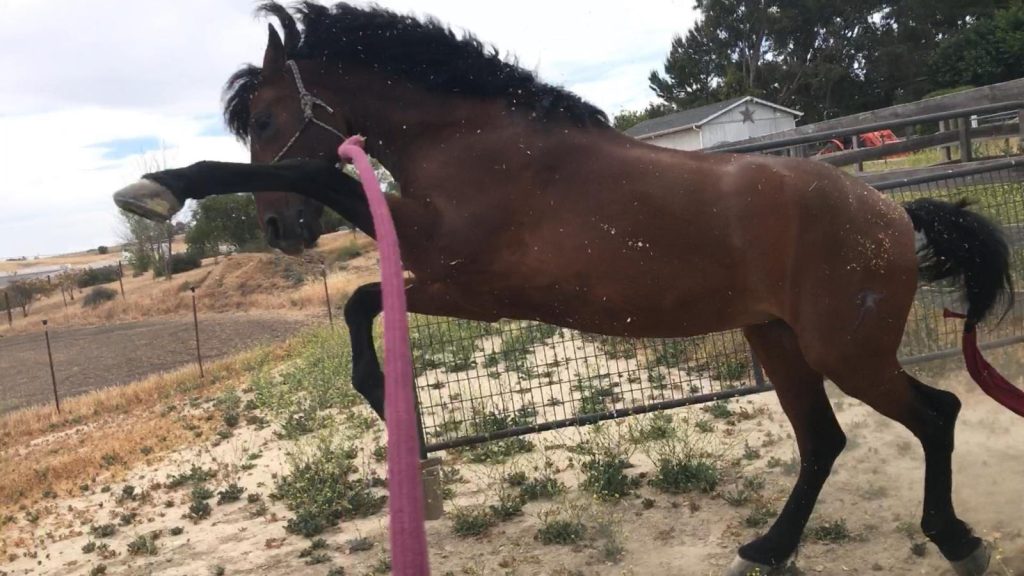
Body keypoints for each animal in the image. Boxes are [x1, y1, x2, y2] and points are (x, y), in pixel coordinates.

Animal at [114, 3, 1020, 574]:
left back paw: (955, 540)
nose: (279, 232)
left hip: (846, 350)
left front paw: (157, 189)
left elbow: (335, 221)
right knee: (825, 442)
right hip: (781, 341)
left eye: (265, 119)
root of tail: (892, 213)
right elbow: (362, 299)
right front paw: (388, 406)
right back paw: (768, 551)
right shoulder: (449, 279)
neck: (480, 142)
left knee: (937, 414)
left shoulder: (458, 274)